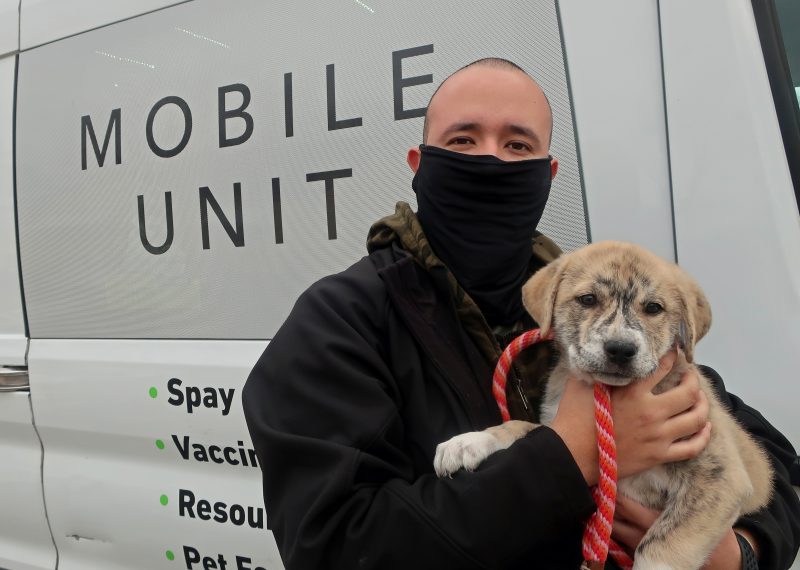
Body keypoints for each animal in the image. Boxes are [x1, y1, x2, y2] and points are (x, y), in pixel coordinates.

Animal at [434, 240, 772, 568]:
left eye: (653, 308)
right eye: (587, 299)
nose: (620, 349)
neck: (608, 391)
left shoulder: (720, 478)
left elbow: (659, 547)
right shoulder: (555, 426)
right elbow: (522, 425)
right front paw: (469, 442)